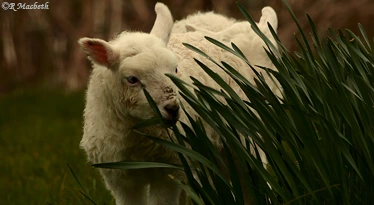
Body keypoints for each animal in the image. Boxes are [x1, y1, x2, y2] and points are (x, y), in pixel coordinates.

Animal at [78, 2, 278, 205]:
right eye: (132, 79)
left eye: (174, 70)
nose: (172, 108)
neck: (139, 138)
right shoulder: (120, 178)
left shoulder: (169, 170)